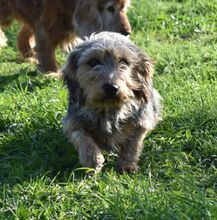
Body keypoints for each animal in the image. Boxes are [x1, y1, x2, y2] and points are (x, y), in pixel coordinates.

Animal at [0, 0, 131, 72]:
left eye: (123, 7)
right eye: (110, 8)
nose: (127, 32)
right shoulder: (45, 27)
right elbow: (46, 51)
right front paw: (52, 72)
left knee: (22, 35)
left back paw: (29, 55)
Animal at [62, 32, 162, 174]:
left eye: (124, 61)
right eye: (93, 62)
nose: (111, 88)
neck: (109, 109)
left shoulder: (141, 122)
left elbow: (132, 145)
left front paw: (126, 165)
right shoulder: (73, 121)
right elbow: (82, 138)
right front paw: (93, 161)